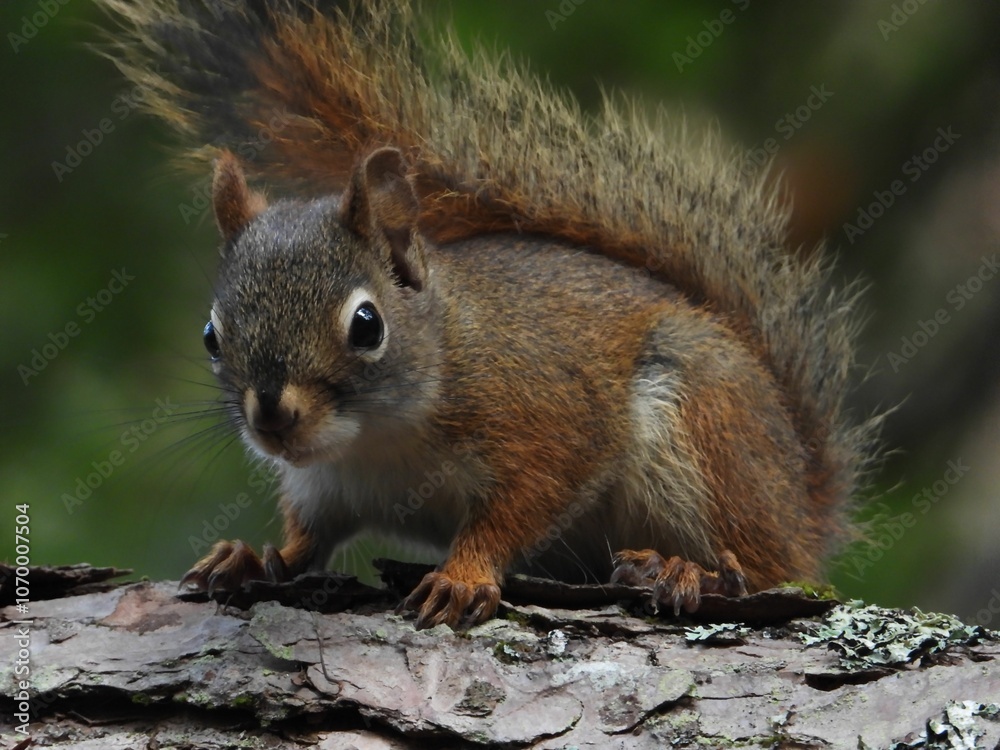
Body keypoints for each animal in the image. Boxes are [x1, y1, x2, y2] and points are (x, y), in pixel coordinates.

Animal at [96, 0, 878, 628]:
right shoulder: (325, 487)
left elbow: (522, 502)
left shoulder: (547, 419)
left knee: (765, 564)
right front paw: (254, 557)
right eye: (211, 335)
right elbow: (306, 539)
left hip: (708, 424)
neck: (379, 439)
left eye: (367, 325)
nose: (271, 417)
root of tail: (803, 501)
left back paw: (693, 569)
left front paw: (465, 574)